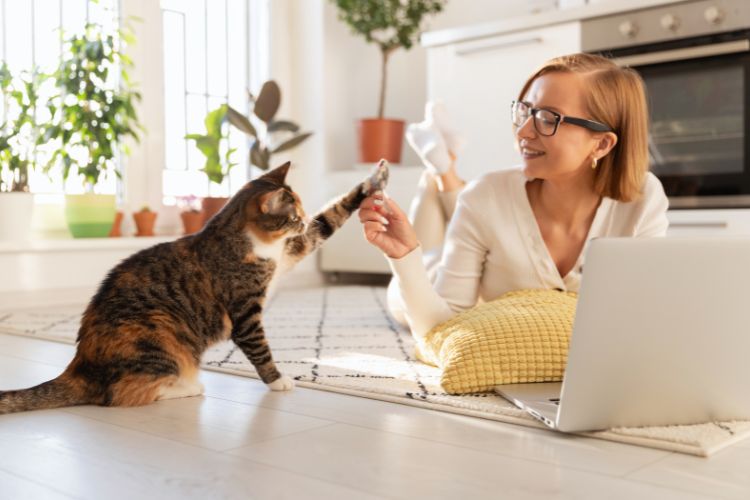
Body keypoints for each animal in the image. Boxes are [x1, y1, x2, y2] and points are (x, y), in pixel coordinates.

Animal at [2, 160, 394, 414]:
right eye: (293, 215)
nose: (302, 219)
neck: (252, 243)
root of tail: (79, 366)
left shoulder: (292, 250)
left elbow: (331, 219)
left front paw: (375, 179)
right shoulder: (245, 312)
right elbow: (261, 350)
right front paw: (278, 380)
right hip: (159, 332)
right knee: (119, 396)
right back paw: (187, 388)